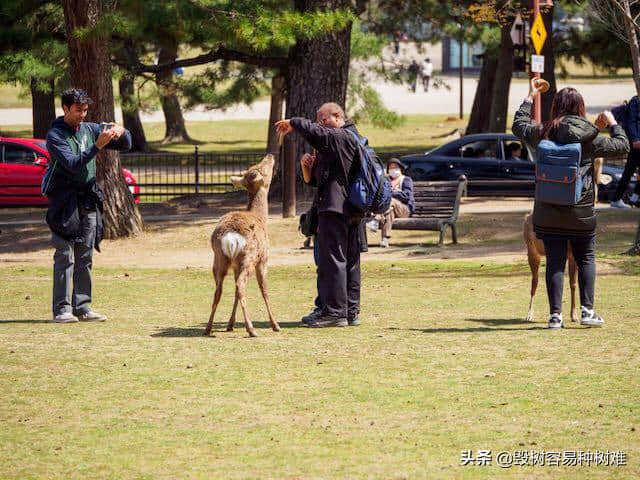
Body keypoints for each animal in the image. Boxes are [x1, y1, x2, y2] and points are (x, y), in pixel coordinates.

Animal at [202, 155, 278, 338]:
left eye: (254, 166)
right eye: (261, 168)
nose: (270, 156)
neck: (261, 218)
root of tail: (230, 237)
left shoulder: (235, 266)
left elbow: (235, 294)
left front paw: (230, 324)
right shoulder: (263, 260)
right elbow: (265, 290)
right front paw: (276, 325)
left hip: (219, 260)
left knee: (219, 290)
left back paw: (208, 328)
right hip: (247, 258)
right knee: (241, 287)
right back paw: (251, 329)